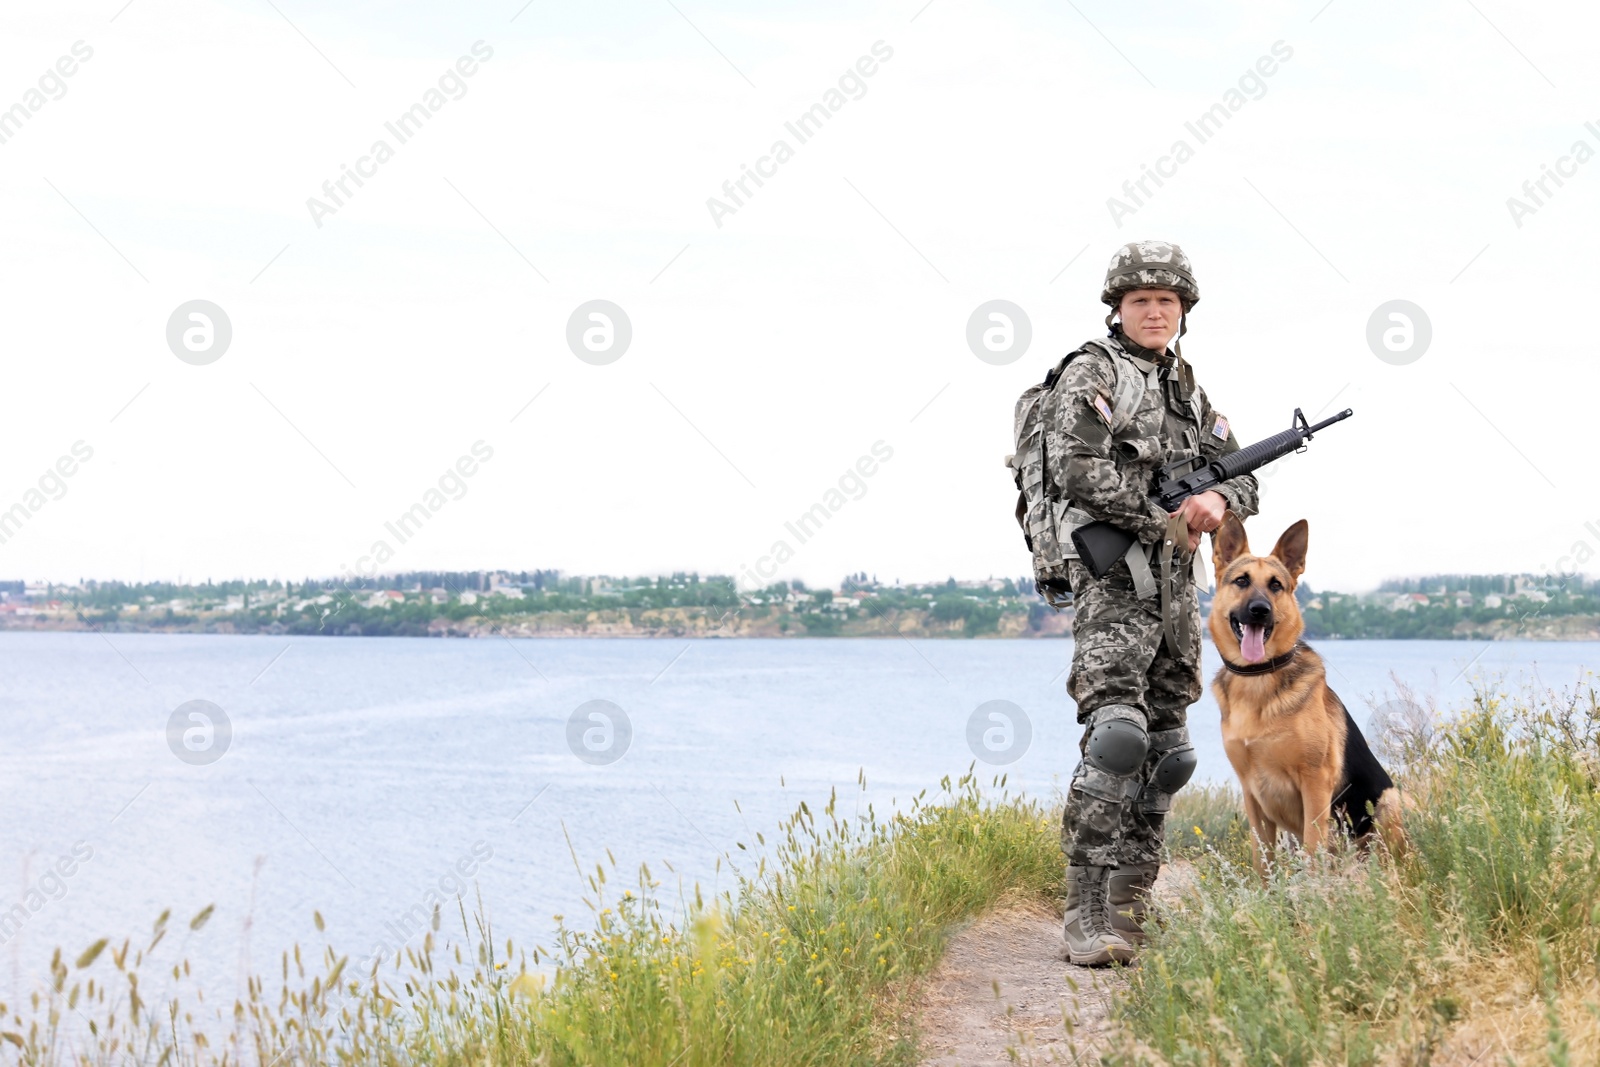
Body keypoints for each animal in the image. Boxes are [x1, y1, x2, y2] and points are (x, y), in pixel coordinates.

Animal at [1209, 511, 1401, 870]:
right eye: (1241, 581)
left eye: (1276, 585)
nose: (1260, 610)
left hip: (1392, 800)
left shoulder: (1315, 783)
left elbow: (1313, 852)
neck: (1259, 678)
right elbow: (1262, 862)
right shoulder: (1251, 793)